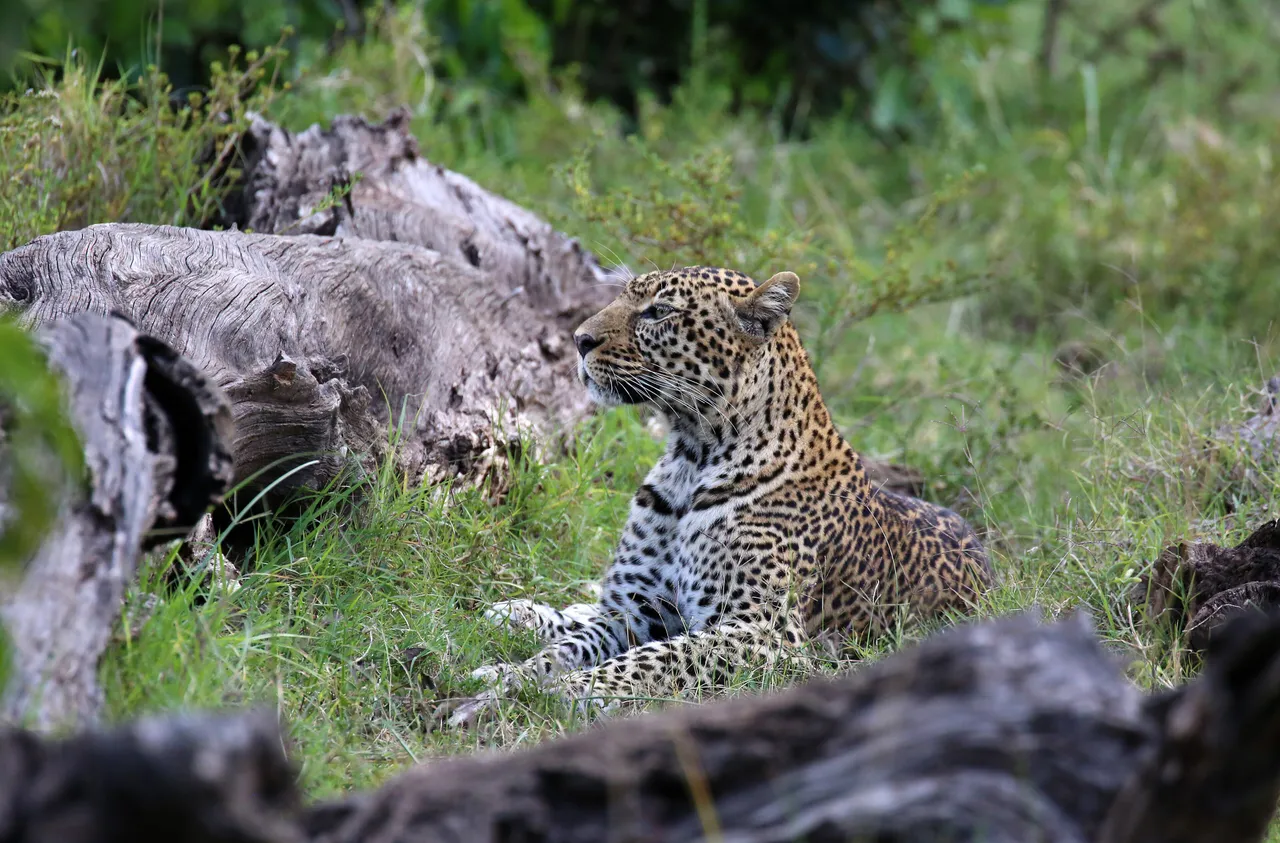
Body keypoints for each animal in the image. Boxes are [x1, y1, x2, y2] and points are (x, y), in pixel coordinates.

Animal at [458, 266, 992, 723]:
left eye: (658, 312)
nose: (578, 340)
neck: (690, 455)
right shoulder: (637, 611)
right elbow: (570, 649)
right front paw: (510, 678)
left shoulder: (765, 632)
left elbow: (651, 659)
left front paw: (554, 693)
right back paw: (519, 612)